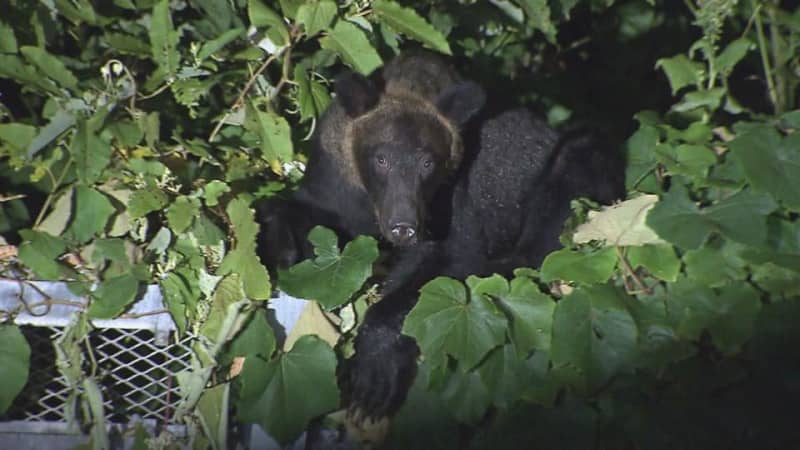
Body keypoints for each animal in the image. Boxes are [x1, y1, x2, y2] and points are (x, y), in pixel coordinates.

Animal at [256, 51, 624, 432]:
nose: (403, 227)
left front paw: (372, 376)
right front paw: (278, 240)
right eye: (381, 158)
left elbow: (448, 264)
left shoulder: (455, 202)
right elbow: (308, 218)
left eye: (427, 162)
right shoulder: (334, 180)